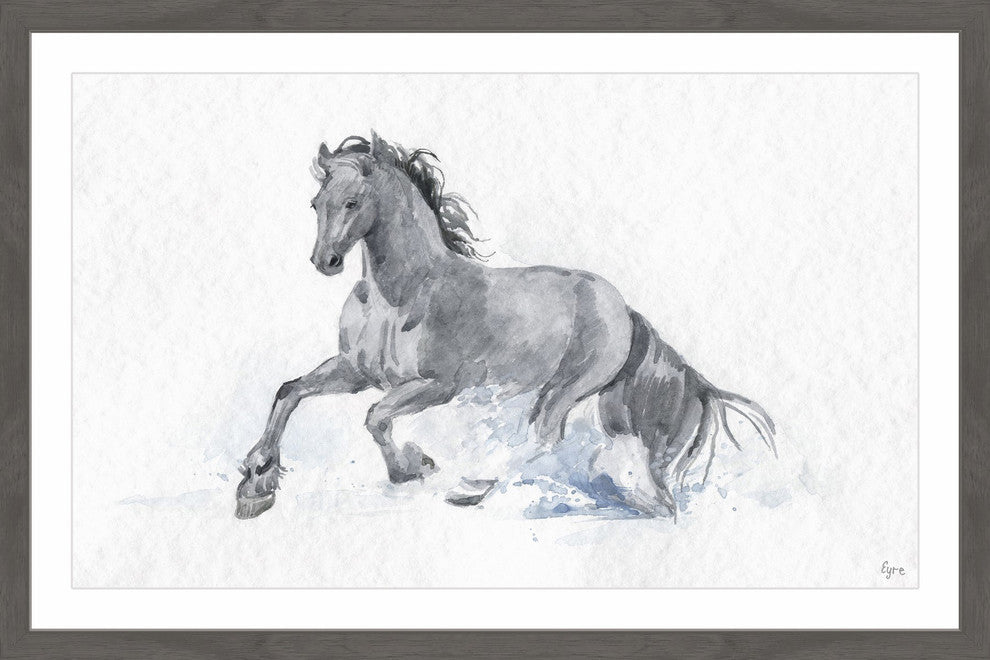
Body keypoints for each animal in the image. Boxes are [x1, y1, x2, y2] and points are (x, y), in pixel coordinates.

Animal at [234, 132, 777, 519]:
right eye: (316, 204)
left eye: (352, 202)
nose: (324, 261)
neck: (401, 295)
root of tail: (624, 308)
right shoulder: (355, 371)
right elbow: (290, 392)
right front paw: (256, 480)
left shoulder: (439, 385)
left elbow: (376, 418)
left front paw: (411, 468)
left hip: (567, 388)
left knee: (544, 441)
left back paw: (481, 490)